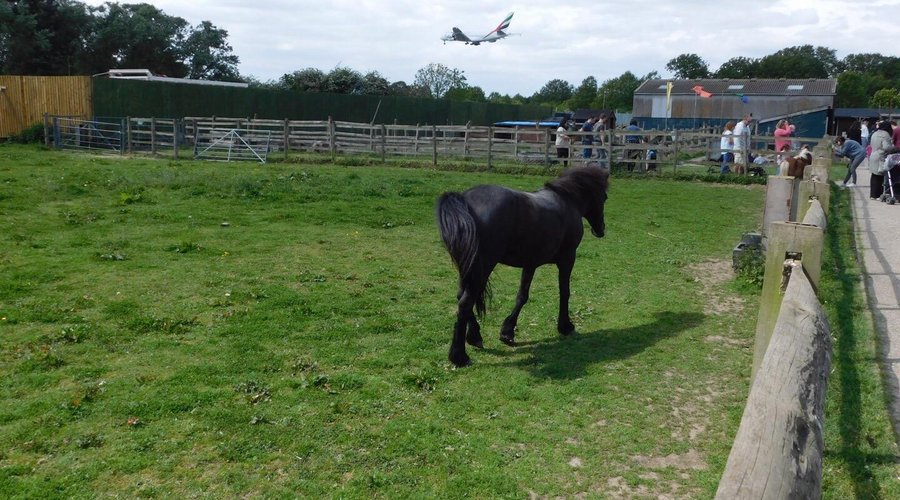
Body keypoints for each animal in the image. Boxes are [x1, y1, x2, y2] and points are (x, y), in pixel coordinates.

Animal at [438, 166, 612, 366]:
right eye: (604, 198)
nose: (600, 229)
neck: (567, 200)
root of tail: (464, 201)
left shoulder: (531, 263)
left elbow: (522, 296)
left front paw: (507, 332)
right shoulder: (568, 259)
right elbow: (565, 292)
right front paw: (565, 326)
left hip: (468, 267)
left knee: (461, 296)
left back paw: (475, 337)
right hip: (482, 267)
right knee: (466, 302)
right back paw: (459, 356)